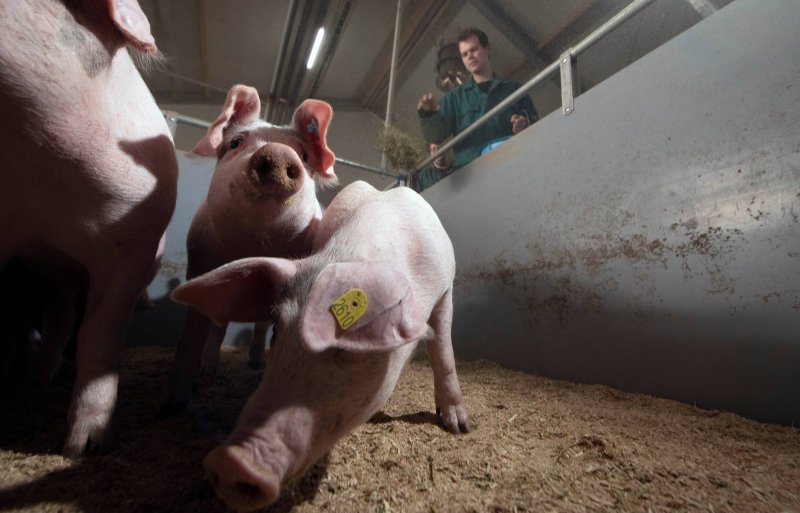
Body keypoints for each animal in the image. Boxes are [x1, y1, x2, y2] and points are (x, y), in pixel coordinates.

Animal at [162, 85, 338, 412]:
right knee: (219, 325)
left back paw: (256, 363)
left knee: (259, 325)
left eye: (304, 155)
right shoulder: (199, 260)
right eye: (235, 143)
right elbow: (194, 331)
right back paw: (210, 369)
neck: (254, 242)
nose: (278, 152)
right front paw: (177, 403)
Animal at [170, 179, 468, 508]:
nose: (231, 462)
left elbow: (444, 353)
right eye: (278, 330)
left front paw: (459, 427)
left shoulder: (445, 290)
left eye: (351, 342)